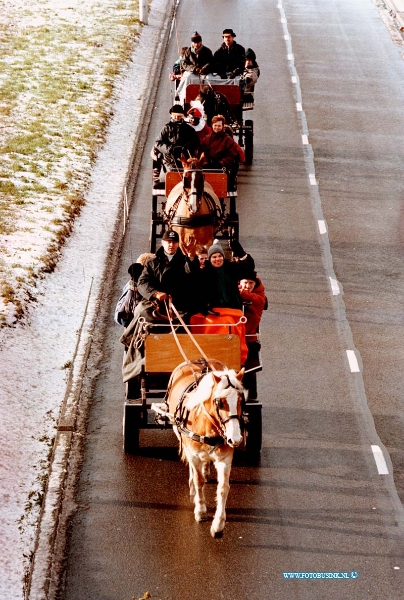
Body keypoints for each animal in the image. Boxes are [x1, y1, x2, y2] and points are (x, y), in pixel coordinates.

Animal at [166, 358, 245, 536]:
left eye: (240, 400)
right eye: (220, 402)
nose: (235, 438)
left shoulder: (224, 458)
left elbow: (223, 488)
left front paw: (218, 524)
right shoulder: (193, 453)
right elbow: (198, 480)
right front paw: (200, 510)